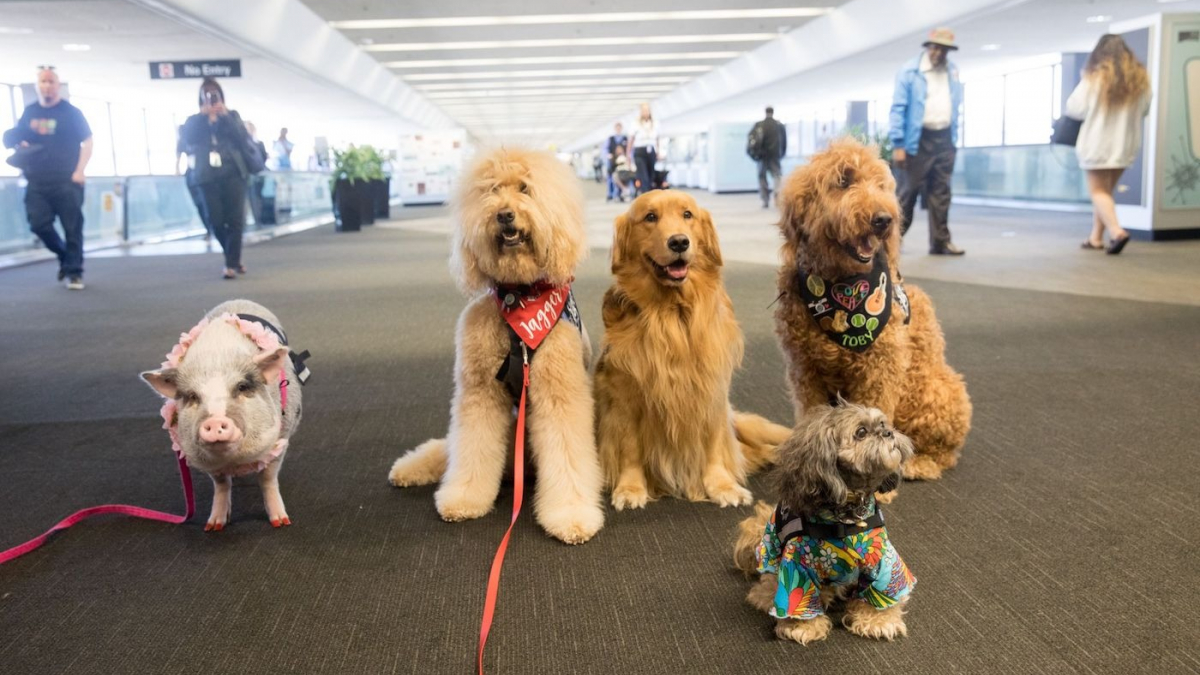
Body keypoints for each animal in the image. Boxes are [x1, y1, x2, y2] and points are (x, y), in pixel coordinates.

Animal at [139, 299, 304, 530]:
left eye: (242, 387)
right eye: (192, 396)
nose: (215, 421)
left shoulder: (281, 438)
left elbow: (268, 479)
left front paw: (281, 522)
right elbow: (222, 484)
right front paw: (214, 526)